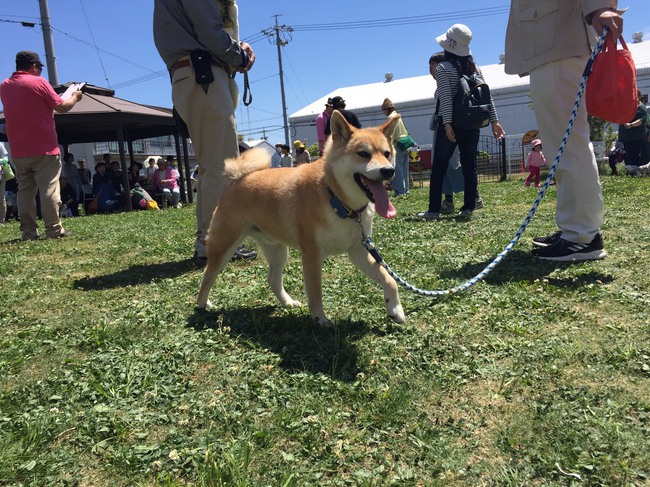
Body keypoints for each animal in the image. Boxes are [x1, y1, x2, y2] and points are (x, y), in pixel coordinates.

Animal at [195, 110, 402, 324]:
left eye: (387, 154)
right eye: (363, 154)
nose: (388, 171)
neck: (338, 201)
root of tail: (236, 179)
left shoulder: (358, 250)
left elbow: (389, 279)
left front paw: (395, 309)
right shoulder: (312, 254)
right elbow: (315, 291)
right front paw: (320, 319)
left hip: (278, 250)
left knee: (273, 280)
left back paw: (287, 302)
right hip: (224, 245)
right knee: (207, 275)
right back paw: (202, 304)